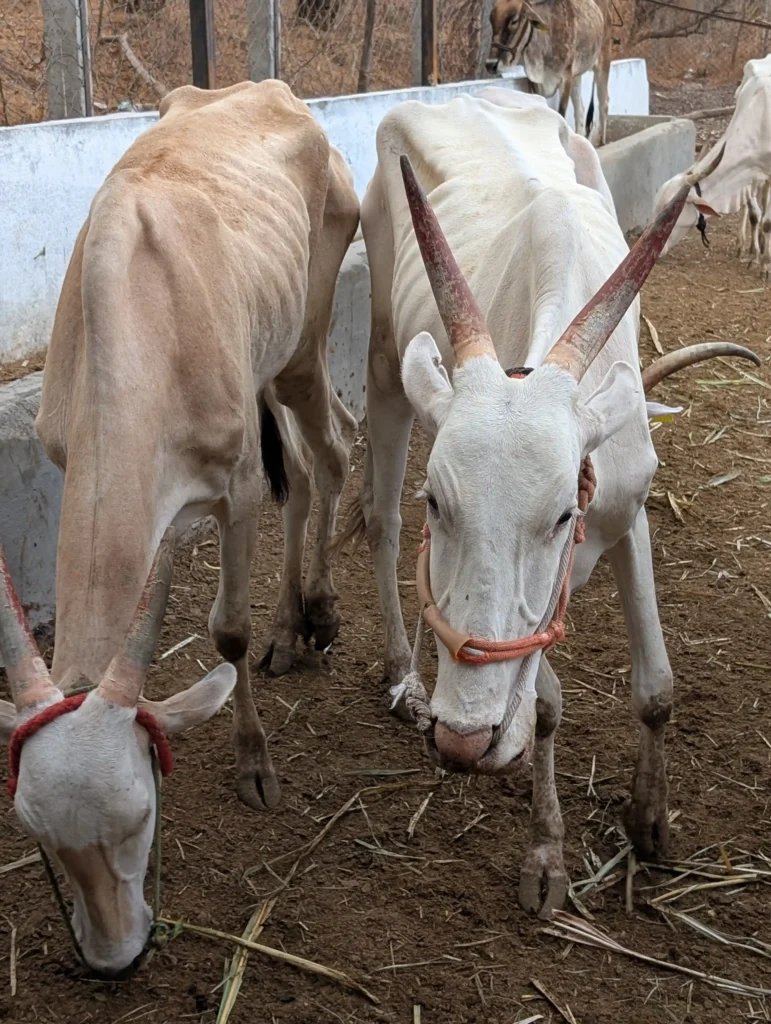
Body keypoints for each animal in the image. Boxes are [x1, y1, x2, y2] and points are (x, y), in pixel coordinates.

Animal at [0, 79, 359, 977]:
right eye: (37, 833)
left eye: (139, 816)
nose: (114, 956)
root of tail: (277, 92)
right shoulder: (69, 456)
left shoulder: (233, 489)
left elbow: (224, 631)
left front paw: (255, 766)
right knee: (304, 471)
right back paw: (290, 631)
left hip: (302, 342)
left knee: (331, 450)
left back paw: (318, 616)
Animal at [341, 89, 758, 917]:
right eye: (438, 503)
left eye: (563, 512)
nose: (461, 741)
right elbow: (541, 707)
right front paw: (546, 856)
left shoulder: (628, 514)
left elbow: (656, 687)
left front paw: (650, 822)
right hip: (382, 362)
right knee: (378, 517)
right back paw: (405, 674)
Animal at [485, 0, 612, 145]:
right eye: (491, 20)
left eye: (514, 21)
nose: (490, 64)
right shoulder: (536, 83)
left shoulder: (565, 78)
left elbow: (561, 113)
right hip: (577, 76)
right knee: (580, 111)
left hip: (603, 63)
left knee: (603, 104)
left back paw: (601, 141)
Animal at [652, 53, 771, 273]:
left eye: (669, 215)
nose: (658, 250)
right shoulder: (752, 171)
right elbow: (754, 213)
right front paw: (755, 256)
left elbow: (768, 221)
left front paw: (766, 265)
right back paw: (748, 245)